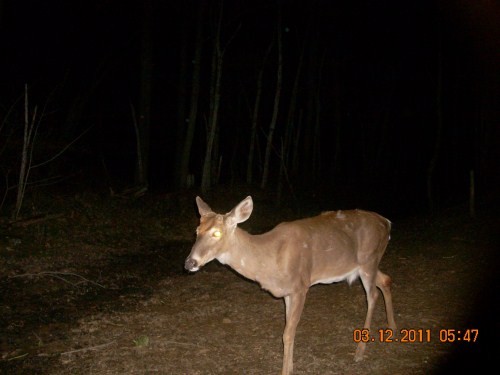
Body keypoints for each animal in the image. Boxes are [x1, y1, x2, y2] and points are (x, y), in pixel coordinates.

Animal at [186, 197, 396, 375]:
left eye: (217, 232)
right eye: (197, 231)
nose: (189, 263)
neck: (269, 259)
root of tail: (387, 222)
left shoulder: (300, 286)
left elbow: (287, 333)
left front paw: (286, 371)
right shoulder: (286, 292)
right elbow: (288, 331)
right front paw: (291, 366)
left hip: (368, 261)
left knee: (372, 296)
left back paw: (360, 352)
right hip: (367, 265)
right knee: (386, 280)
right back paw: (392, 328)